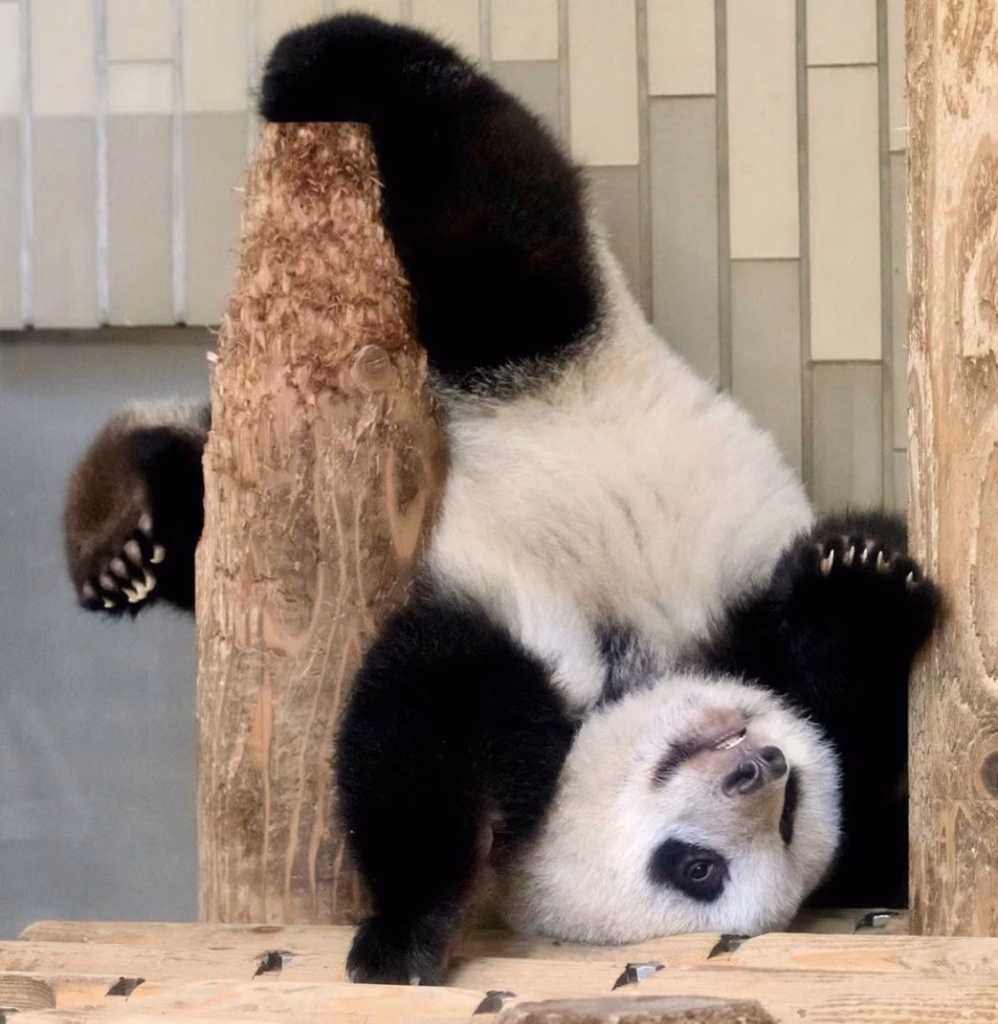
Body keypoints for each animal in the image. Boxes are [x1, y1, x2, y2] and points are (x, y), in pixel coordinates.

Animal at [62, 14, 940, 986]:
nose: (763, 767)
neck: (632, 673)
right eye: (697, 868)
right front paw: (402, 937)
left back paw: (130, 535)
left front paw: (857, 588)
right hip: (546, 359)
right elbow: (426, 738)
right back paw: (324, 61)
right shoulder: (592, 652)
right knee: (489, 210)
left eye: (776, 830)